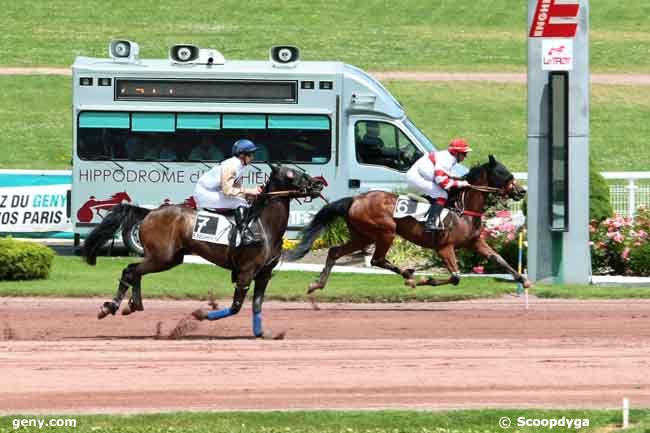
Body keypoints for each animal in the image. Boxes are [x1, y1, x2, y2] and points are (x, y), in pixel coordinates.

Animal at [81, 164, 324, 336]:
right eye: (291, 174)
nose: (318, 184)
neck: (264, 226)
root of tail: (149, 213)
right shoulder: (246, 272)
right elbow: (236, 307)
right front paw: (201, 314)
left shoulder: (264, 274)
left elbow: (257, 305)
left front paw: (262, 333)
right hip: (162, 257)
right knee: (130, 270)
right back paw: (111, 306)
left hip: (169, 259)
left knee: (135, 271)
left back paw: (132, 305)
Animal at [288, 154, 532, 292]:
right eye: (502, 172)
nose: (521, 191)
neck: (463, 210)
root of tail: (355, 199)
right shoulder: (444, 247)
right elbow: (455, 277)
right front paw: (422, 281)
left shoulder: (475, 243)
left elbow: (499, 259)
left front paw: (523, 279)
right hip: (385, 232)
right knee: (376, 260)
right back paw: (408, 275)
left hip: (362, 236)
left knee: (335, 252)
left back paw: (317, 284)